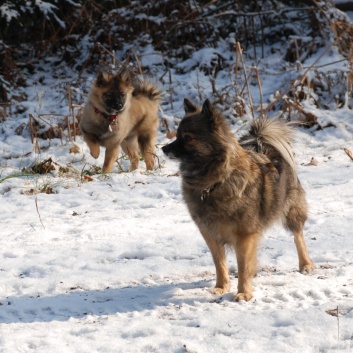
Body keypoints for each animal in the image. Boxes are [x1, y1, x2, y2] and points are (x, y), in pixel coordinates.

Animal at [162, 98, 314, 300]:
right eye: (177, 135)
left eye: (187, 137)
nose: (163, 148)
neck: (214, 183)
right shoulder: (210, 234)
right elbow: (220, 263)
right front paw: (221, 287)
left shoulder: (243, 235)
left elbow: (243, 267)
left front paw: (243, 293)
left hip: (291, 210)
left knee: (298, 236)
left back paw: (306, 264)